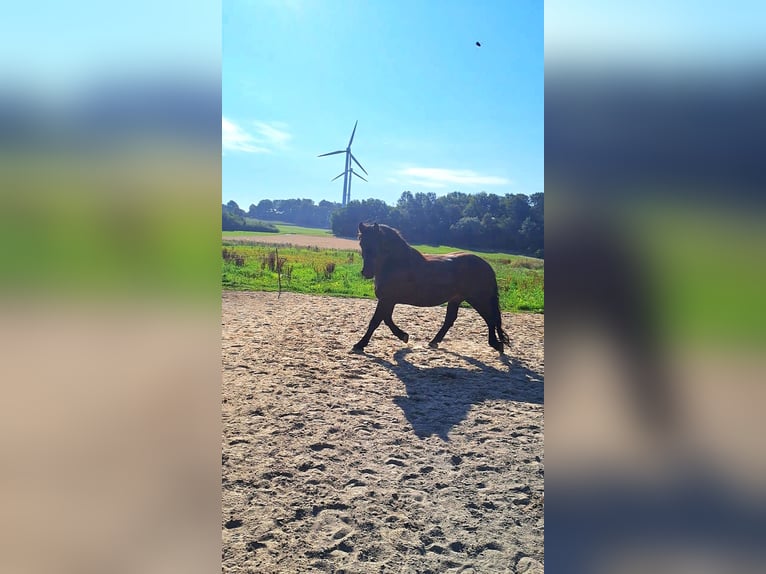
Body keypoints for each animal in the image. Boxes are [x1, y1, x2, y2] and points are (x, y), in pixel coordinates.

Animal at [353, 222, 511, 354]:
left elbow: (375, 321)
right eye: (362, 243)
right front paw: (403, 336)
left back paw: (496, 345)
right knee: (450, 320)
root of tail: (486, 266)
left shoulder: (387, 299)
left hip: (478, 299)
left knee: (490, 319)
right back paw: (434, 342)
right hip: (456, 299)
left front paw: (360, 344)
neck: (397, 264)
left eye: (377, 243)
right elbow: (386, 319)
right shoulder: (388, 300)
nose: (366, 272)